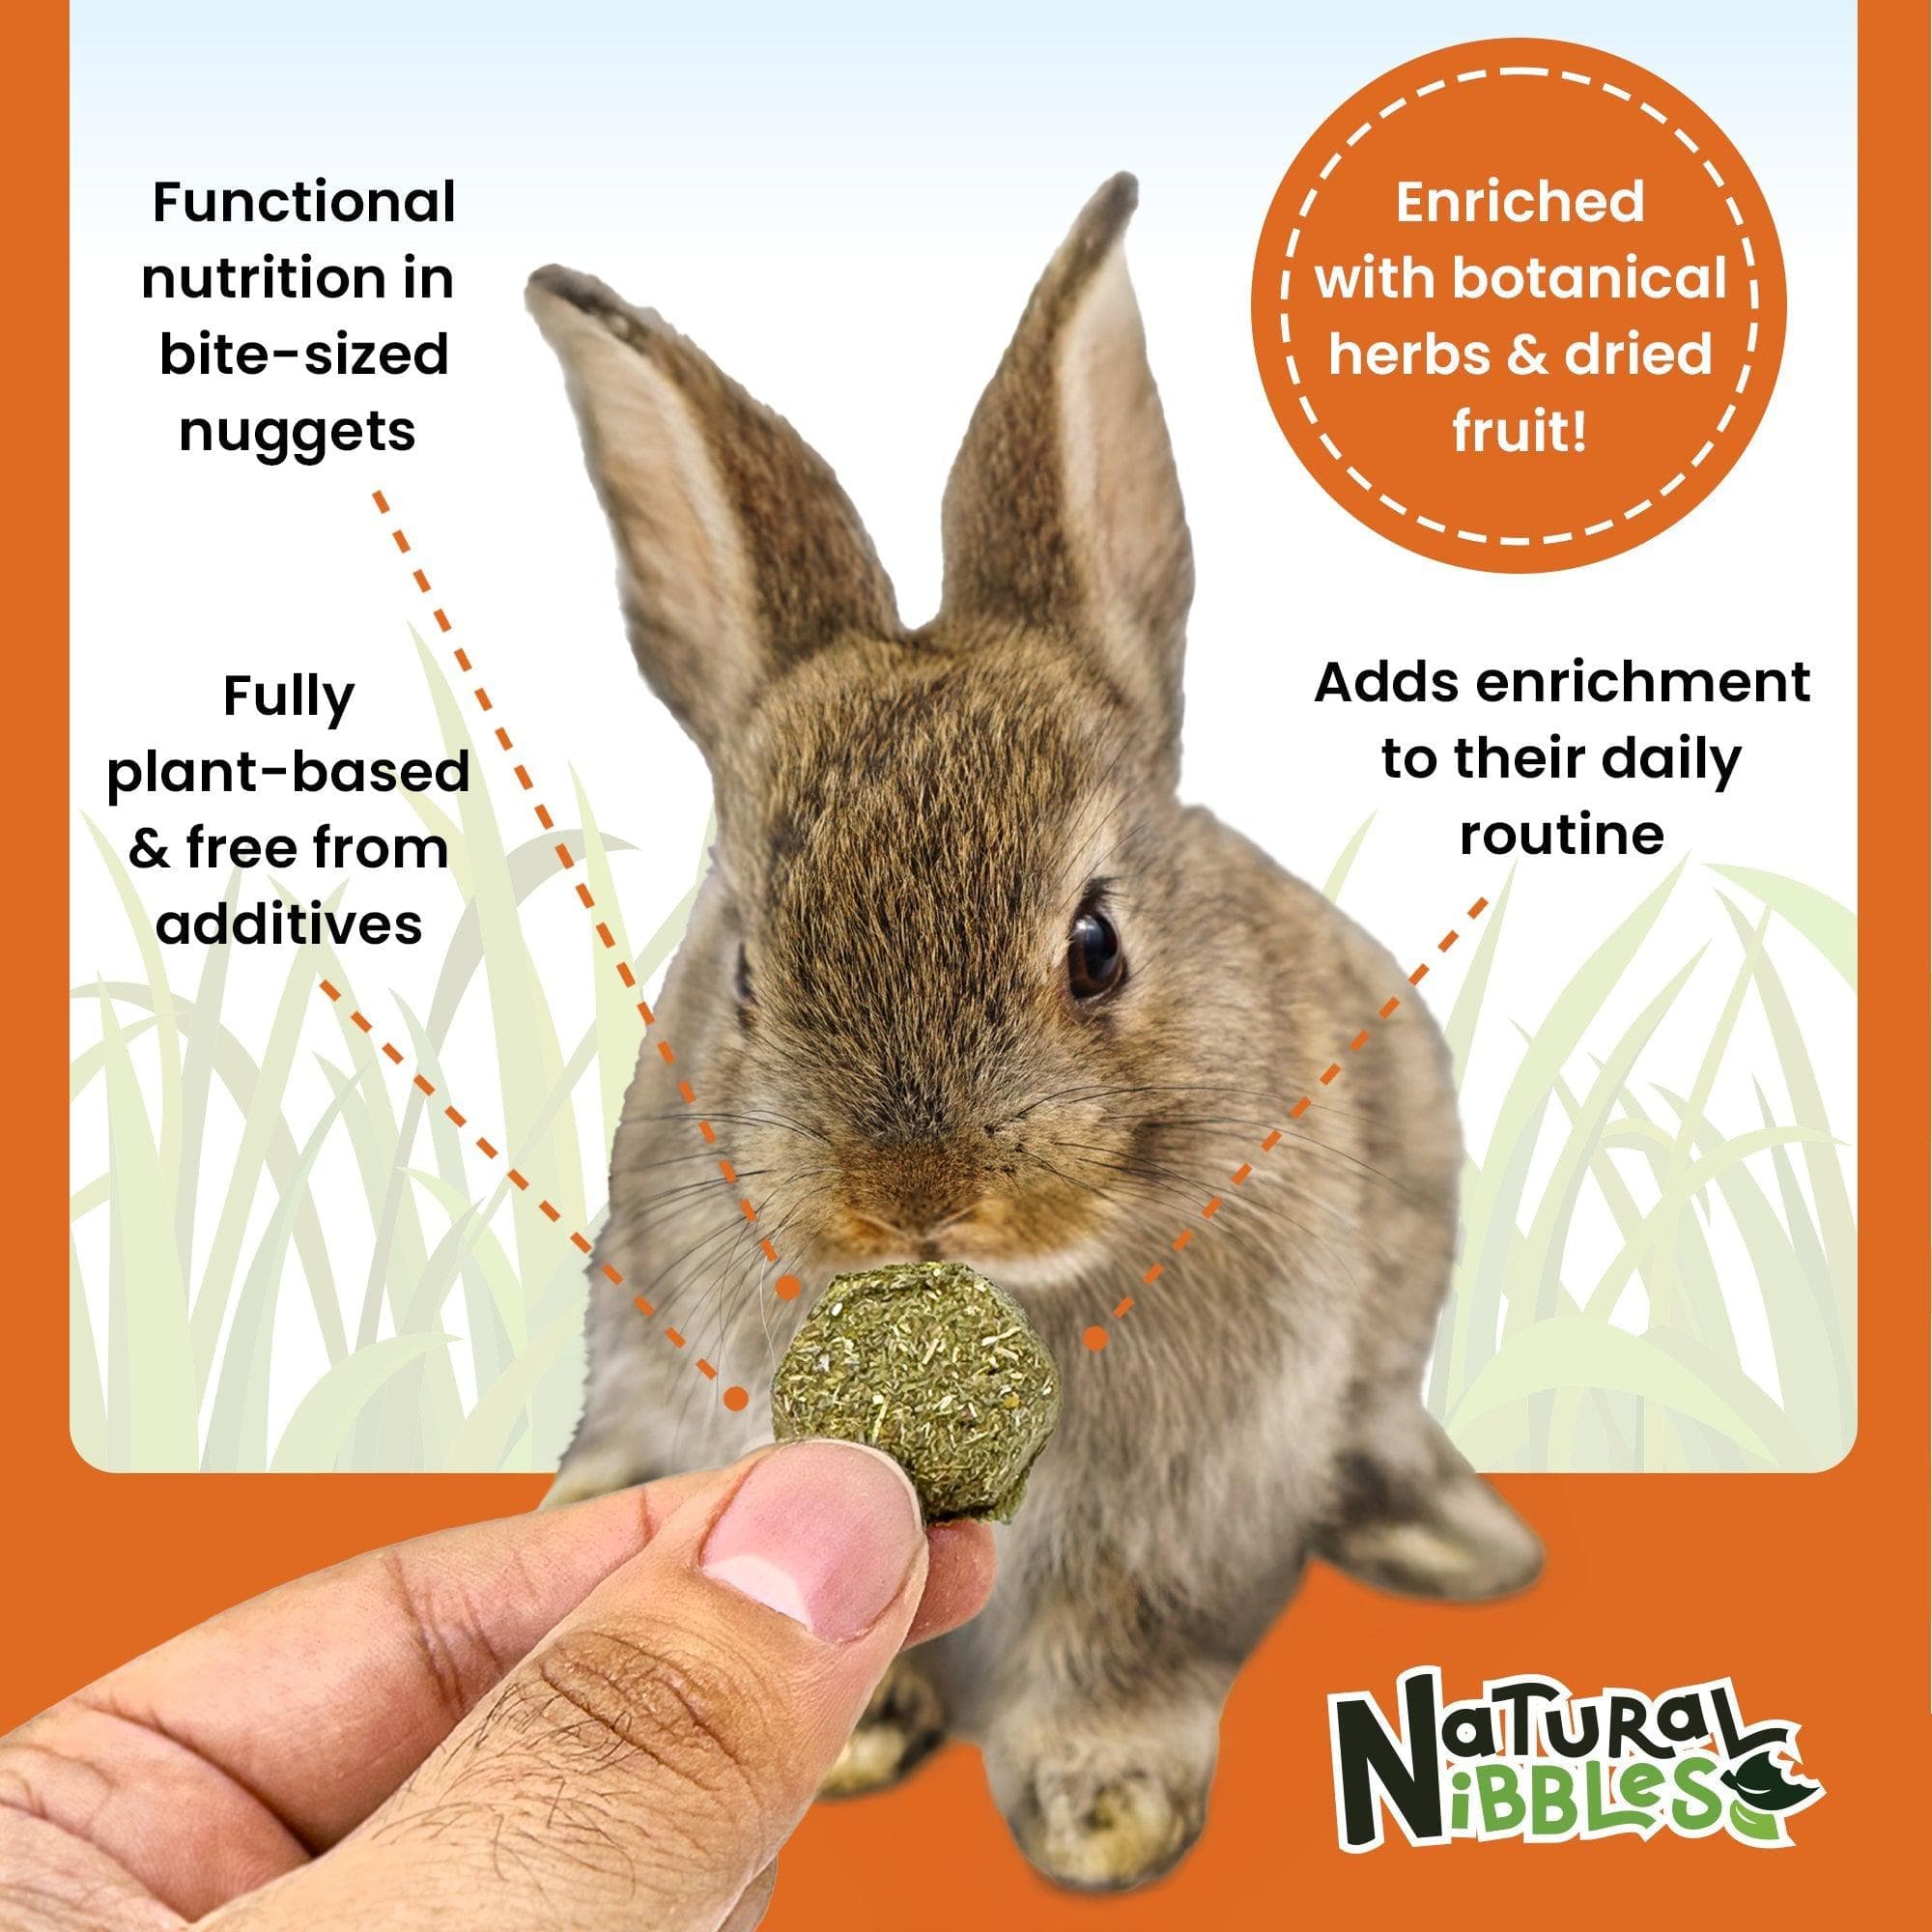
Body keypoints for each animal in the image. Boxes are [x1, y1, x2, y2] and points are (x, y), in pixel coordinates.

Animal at [525, 172, 1541, 1894]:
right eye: (745, 976)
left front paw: (1106, 1814)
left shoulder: (1176, 1517)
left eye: (1095, 946)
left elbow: (1119, 1647)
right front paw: (860, 1739)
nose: (913, 1196)